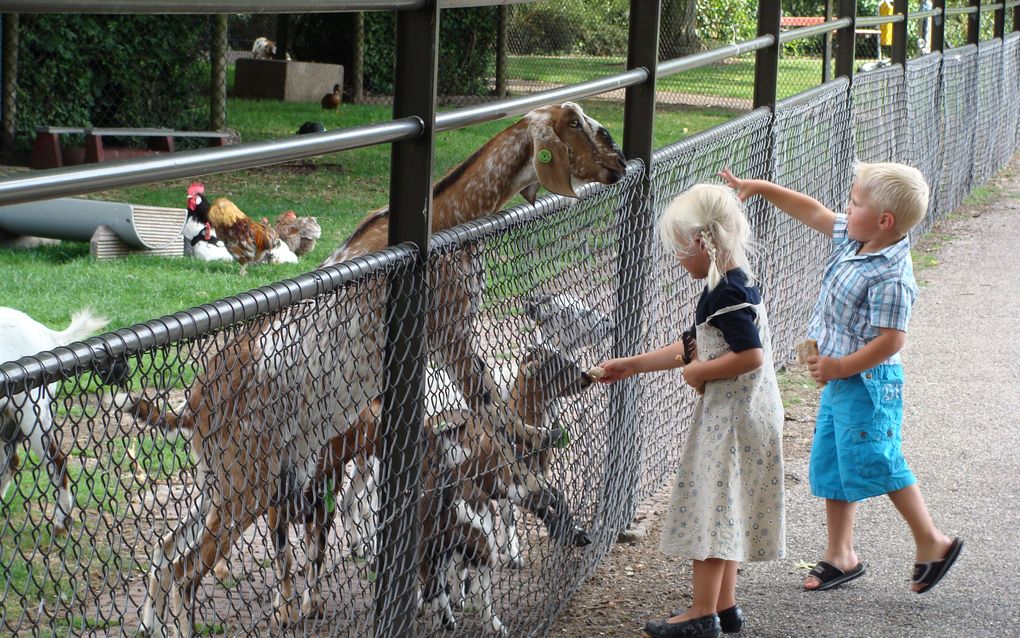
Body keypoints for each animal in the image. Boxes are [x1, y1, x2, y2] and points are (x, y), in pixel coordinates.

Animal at [131, 102, 624, 632]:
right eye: (581, 126)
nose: (618, 163)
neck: (449, 214)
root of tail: (194, 403)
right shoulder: (449, 331)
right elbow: (491, 409)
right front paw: (535, 463)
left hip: (218, 480)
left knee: (164, 555)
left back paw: (148, 623)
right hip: (245, 483)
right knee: (185, 574)